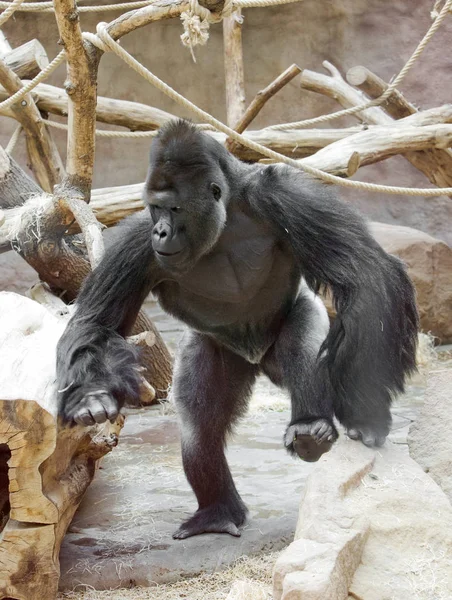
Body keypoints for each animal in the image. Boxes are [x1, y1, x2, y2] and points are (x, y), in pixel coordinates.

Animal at [57, 120, 420, 540]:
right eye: (156, 208)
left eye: (174, 208)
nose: (161, 232)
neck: (225, 213)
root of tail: (259, 362)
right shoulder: (136, 239)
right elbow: (96, 323)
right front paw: (90, 397)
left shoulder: (281, 192)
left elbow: (365, 273)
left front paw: (367, 410)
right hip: (218, 352)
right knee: (200, 428)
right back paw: (217, 509)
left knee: (303, 341)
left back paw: (310, 428)